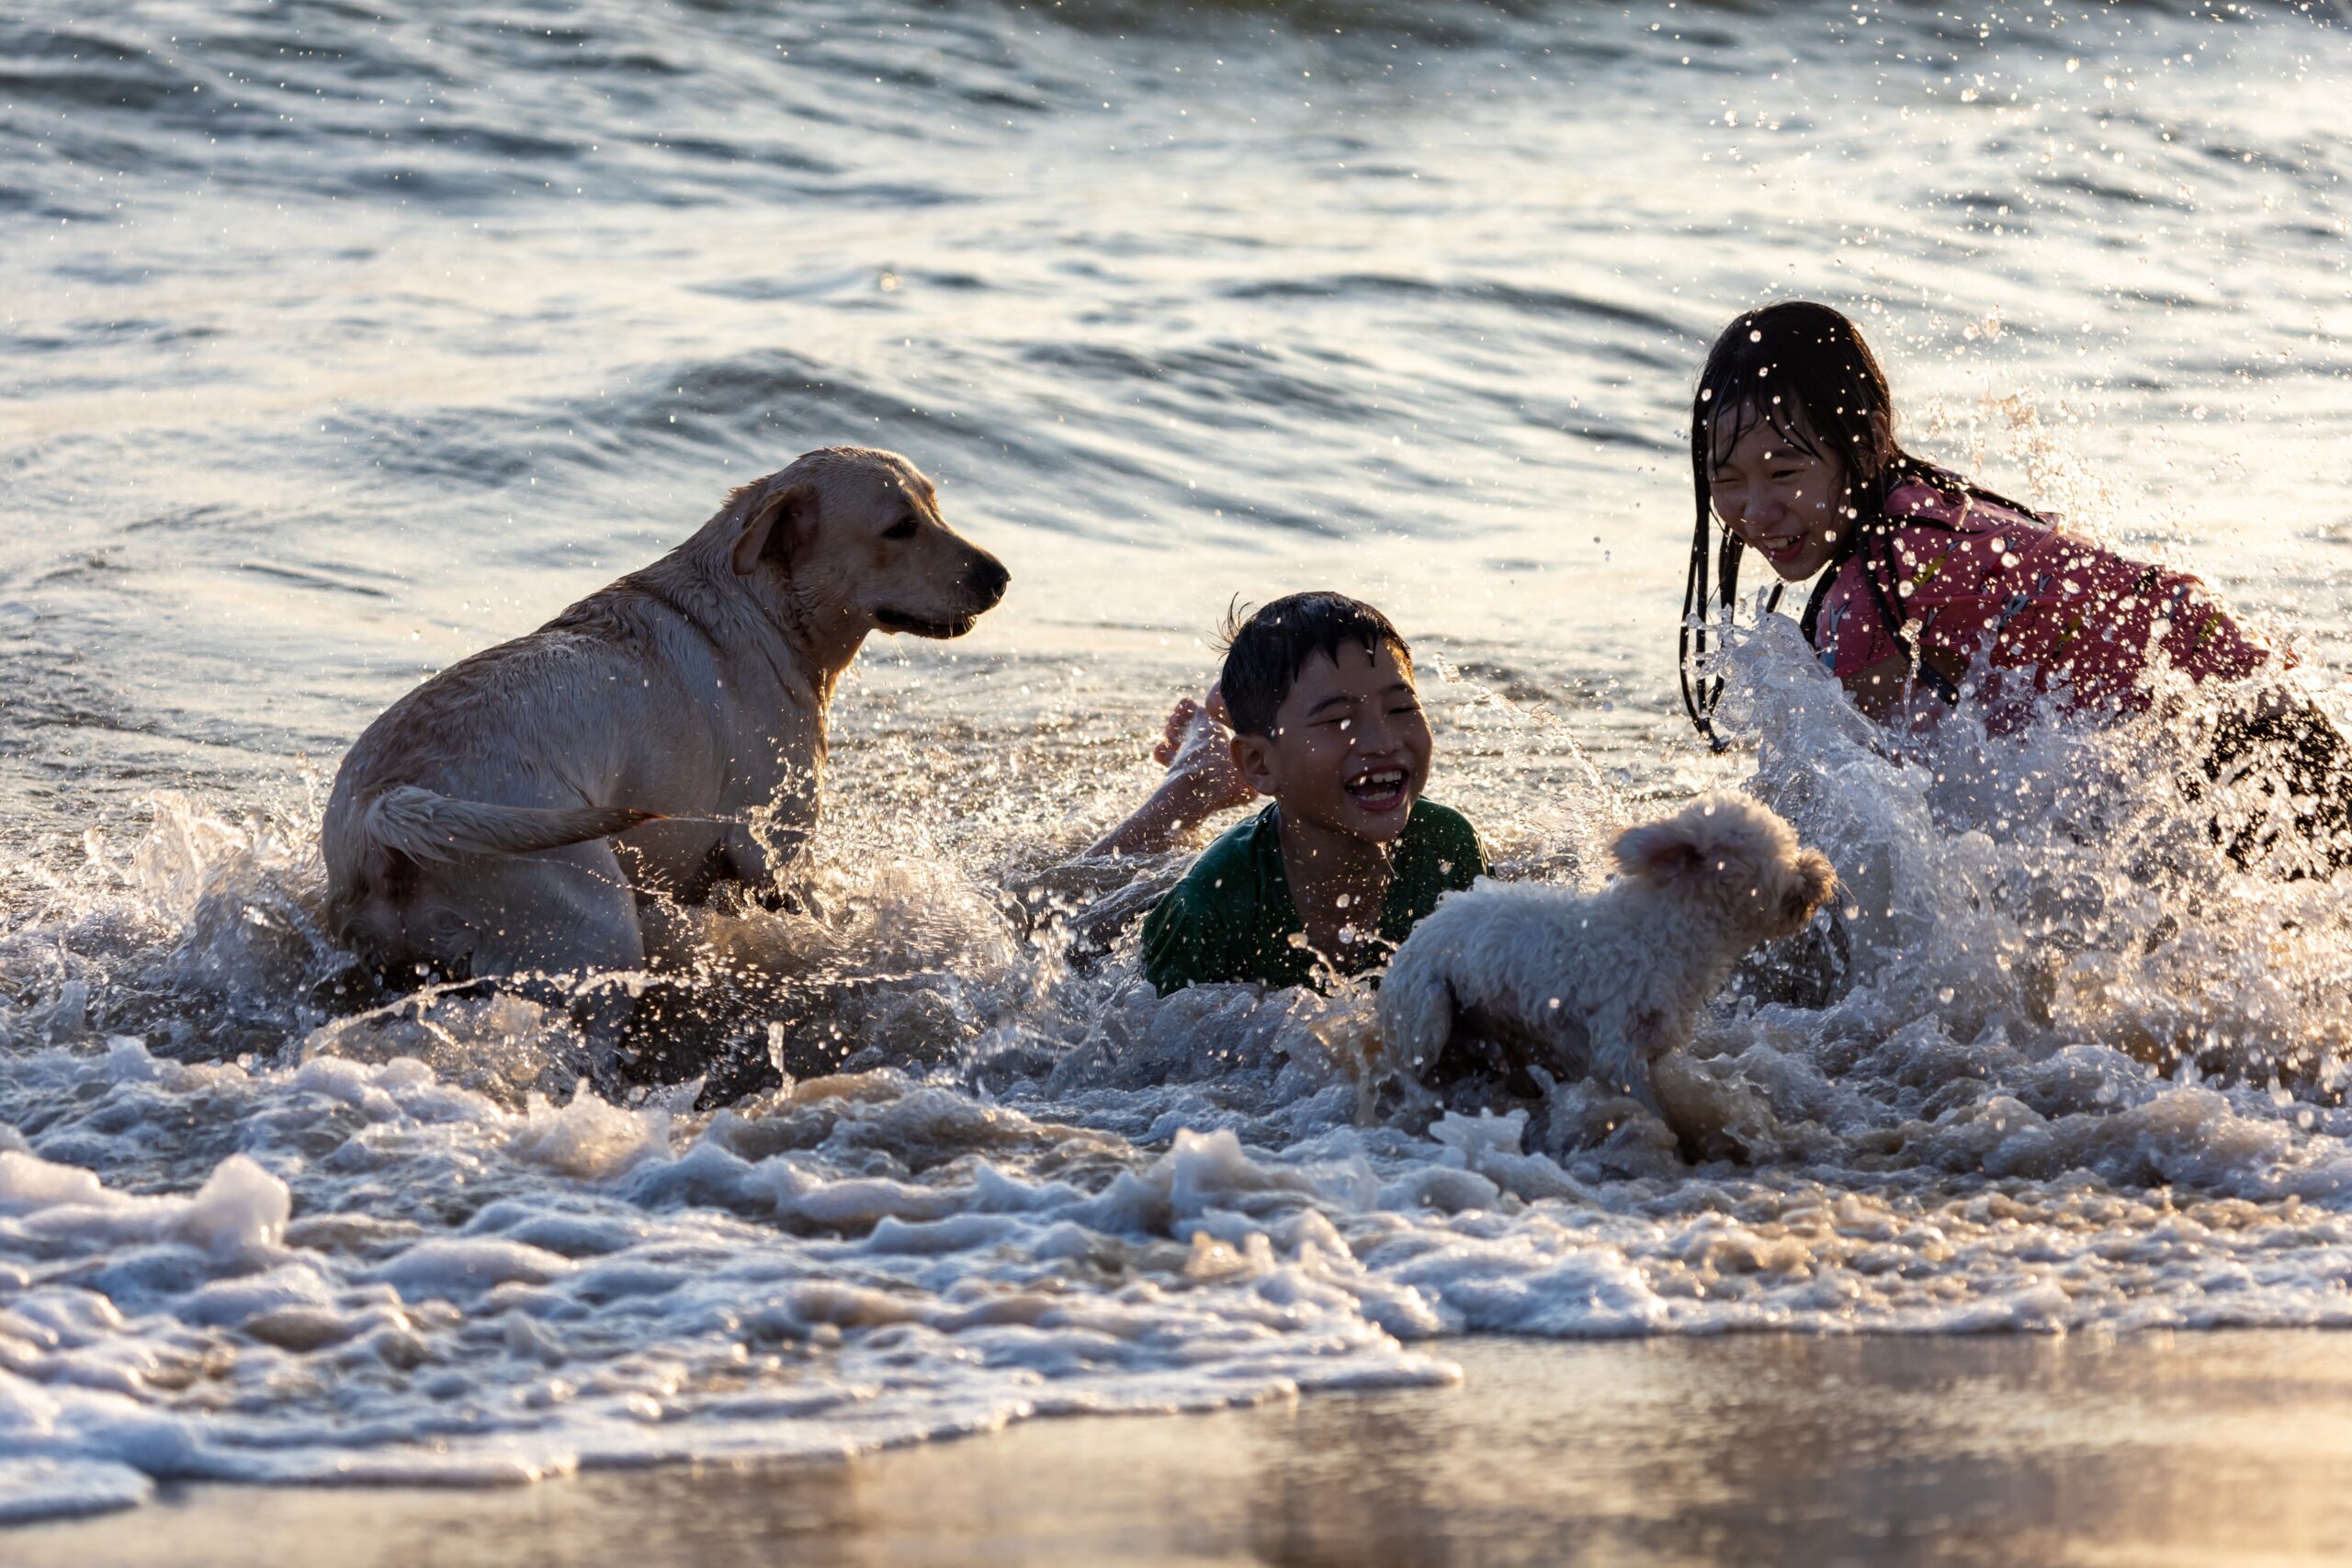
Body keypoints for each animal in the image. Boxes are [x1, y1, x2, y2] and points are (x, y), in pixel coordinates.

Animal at [320, 444, 1001, 982]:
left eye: (935, 506)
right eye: (900, 527)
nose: (1001, 576)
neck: (763, 606)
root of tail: (385, 807)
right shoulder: (777, 854)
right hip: (590, 920)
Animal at [1374, 804, 1834, 1123]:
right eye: (1779, 853)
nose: (1820, 870)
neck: (1661, 933)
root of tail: (1418, 934)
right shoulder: (1617, 1047)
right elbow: (1651, 1108)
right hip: (1426, 1010)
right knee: (1410, 1067)